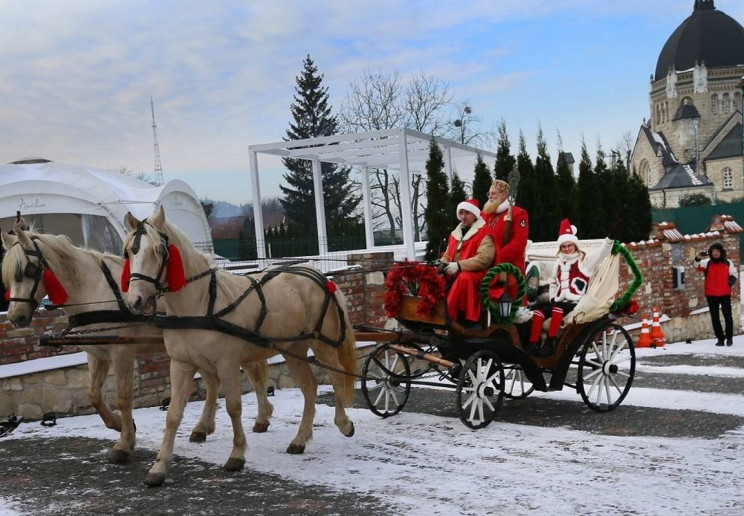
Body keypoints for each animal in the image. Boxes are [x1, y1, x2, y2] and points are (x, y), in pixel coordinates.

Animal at [0, 227, 274, 464]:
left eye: (29, 269)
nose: (15, 317)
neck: (94, 289)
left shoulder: (122, 352)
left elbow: (123, 397)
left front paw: (124, 443)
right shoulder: (97, 353)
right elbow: (94, 394)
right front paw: (119, 424)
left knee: (253, 375)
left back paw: (262, 417)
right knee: (213, 382)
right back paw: (203, 427)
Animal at [123, 207, 360, 488]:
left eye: (159, 250)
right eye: (128, 252)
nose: (135, 301)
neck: (200, 302)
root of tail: (321, 276)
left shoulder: (226, 364)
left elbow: (233, 407)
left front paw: (237, 454)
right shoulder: (181, 365)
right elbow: (173, 414)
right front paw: (159, 467)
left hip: (322, 344)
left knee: (336, 377)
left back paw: (343, 423)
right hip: (294, 349)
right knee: (310, 388)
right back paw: (300, 439)